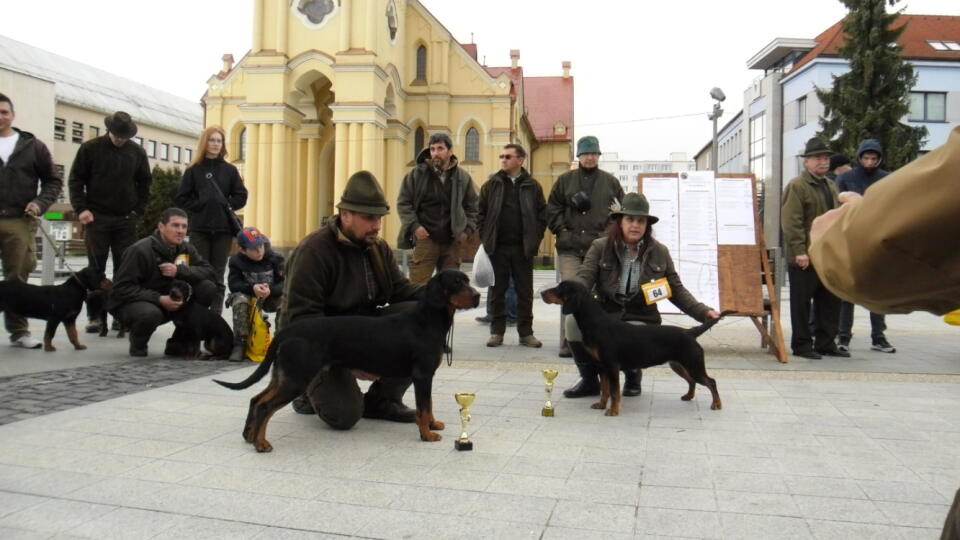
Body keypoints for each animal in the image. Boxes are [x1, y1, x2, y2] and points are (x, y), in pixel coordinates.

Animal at [540, 280, 736, 416]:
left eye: (560, 288)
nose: (541, 292)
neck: (594, 322)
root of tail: (690, 332)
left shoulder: (612, 366)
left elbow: (614, 391)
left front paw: (613, 411)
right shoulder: (602, 367)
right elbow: (604, 390)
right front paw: (601, 405)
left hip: (693, 364)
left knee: (711, 381)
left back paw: (716, 404)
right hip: (678, 364)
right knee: (692, 381)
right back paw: (688, 396)